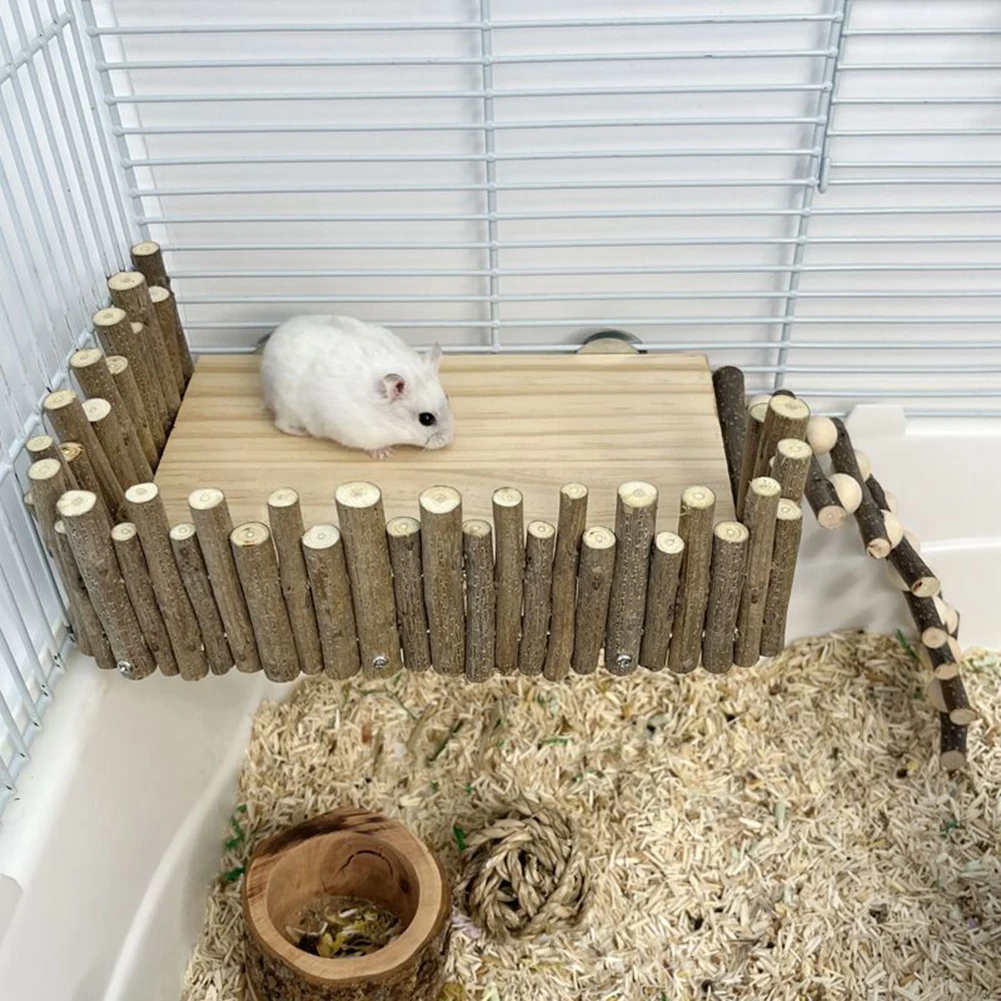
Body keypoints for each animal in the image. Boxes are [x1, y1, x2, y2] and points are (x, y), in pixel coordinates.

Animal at [259, 315, 455, 459]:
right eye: (426, 419)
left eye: (447, 398)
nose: (448, 439)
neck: (386, 419)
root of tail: (275, 334)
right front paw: (385, 453)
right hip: (287, 408)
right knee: (281, 424)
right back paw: (301, 433)